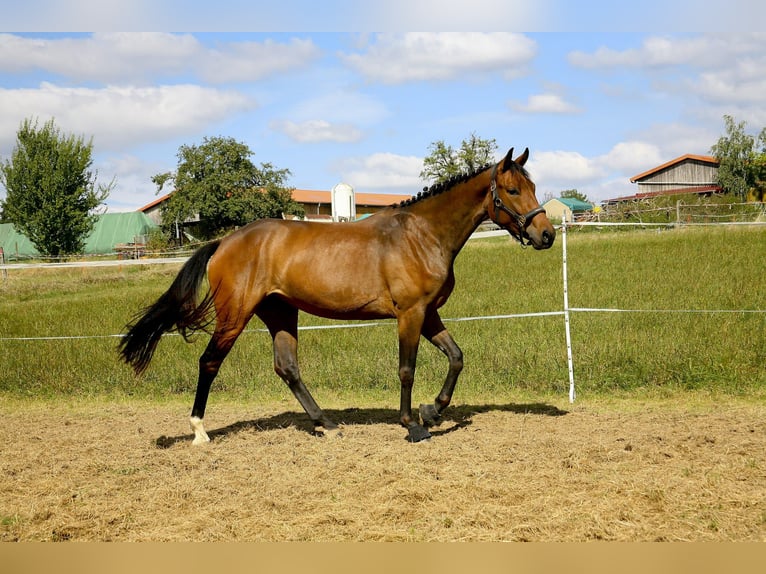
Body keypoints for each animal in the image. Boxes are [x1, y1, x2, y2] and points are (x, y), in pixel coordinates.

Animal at [118, 147, 552, 446]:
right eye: (512, 189)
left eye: (532, 187)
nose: (545, 234)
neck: (422, 234)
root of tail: (224, 241)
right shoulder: (410, 314)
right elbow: (407, 370)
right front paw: (412, 425)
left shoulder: (429, 314)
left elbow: (456, 358)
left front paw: (431, 410)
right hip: (235, 314)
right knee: (209, 362)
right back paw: (199, 431)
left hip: (280, 313)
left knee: (287, 367)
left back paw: (325, 423)